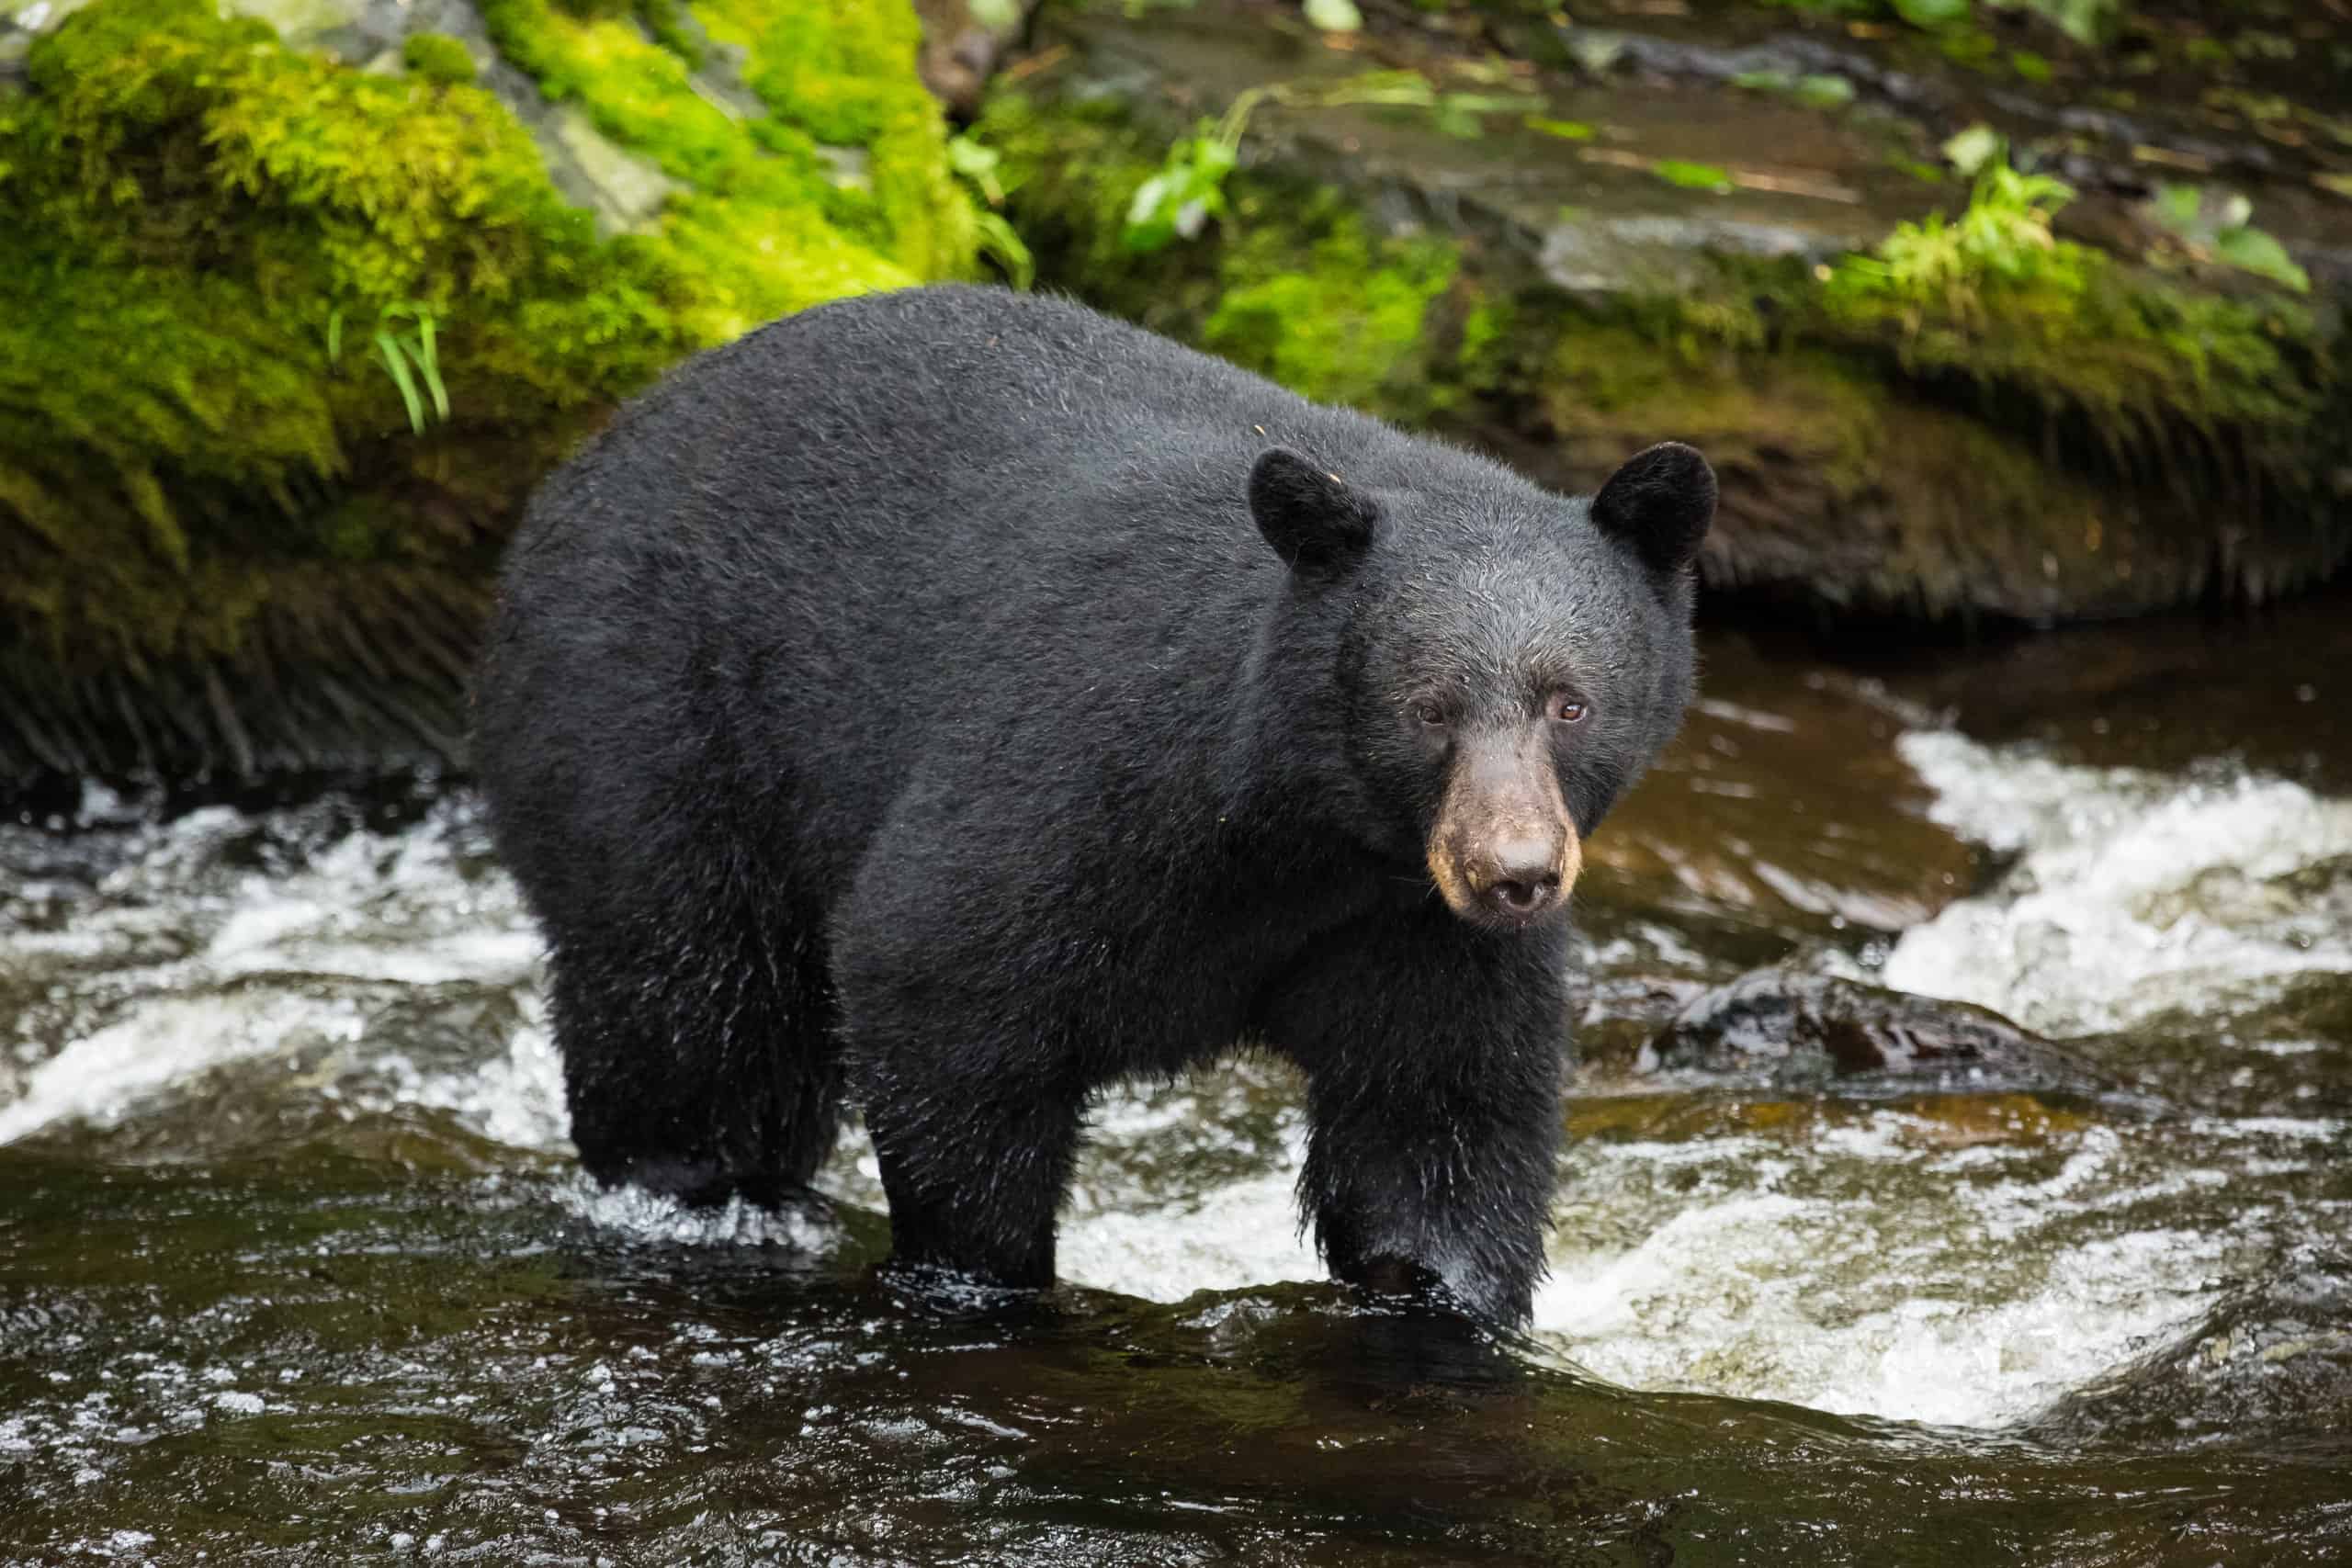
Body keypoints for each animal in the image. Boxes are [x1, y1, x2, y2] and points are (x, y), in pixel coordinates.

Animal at [473, 284, 1713, 1325]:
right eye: (1429, 707)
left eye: (1569, 702)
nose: (1514, 874)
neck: (1298, 832)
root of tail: (591, 453)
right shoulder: (1082, 775)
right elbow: (938, 974)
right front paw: (985, 1275)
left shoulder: (1408, 926)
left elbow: (1435, 1120)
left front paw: (1445, 1297)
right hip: (653, 719)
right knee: (694, 1001)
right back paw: (709, 1191)